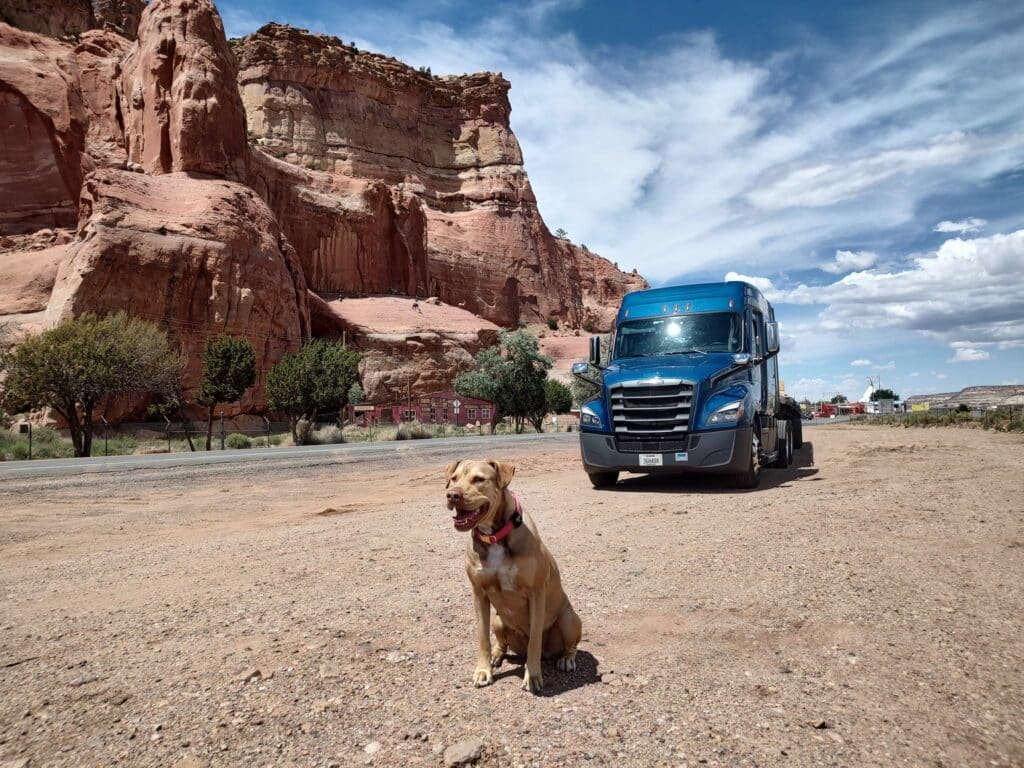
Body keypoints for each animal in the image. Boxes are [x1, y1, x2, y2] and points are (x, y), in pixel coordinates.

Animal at [444, 460, 581, 696]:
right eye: (453, 479)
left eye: (479, 479)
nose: (452, 495)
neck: (494, 536)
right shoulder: (479, 594)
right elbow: (483, 638)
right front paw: (483, 670)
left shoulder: (536, 593)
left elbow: (534, 640)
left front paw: (532, 676)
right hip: (499, 620)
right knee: (502, 643)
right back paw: (497, 656)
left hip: (569, 619)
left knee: (568, 645)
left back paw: (566, 659)